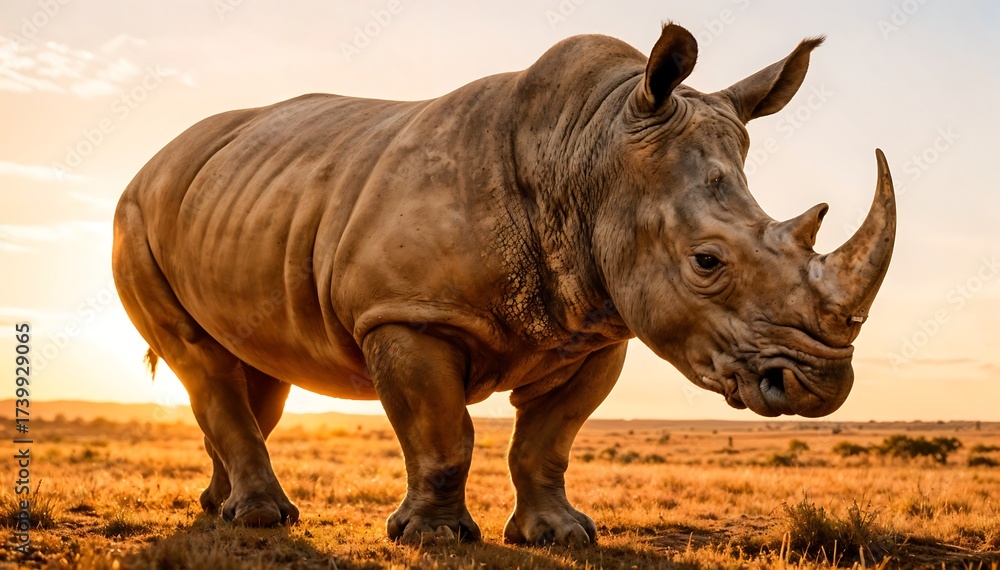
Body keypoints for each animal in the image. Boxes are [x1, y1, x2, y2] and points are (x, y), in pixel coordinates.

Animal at [112, 23, 895, 545]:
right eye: (707, 262)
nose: (821, 385)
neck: (589, 148)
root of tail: (160, 154)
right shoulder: (408, 313)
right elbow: (442, 431)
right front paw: (431, 538)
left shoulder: (596, 327)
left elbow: (548, 439)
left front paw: (559, 534)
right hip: (134, 212)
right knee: (205, 363)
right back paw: (262, 521)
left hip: (237, 201)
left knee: (254, 372)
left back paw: (220, 508)